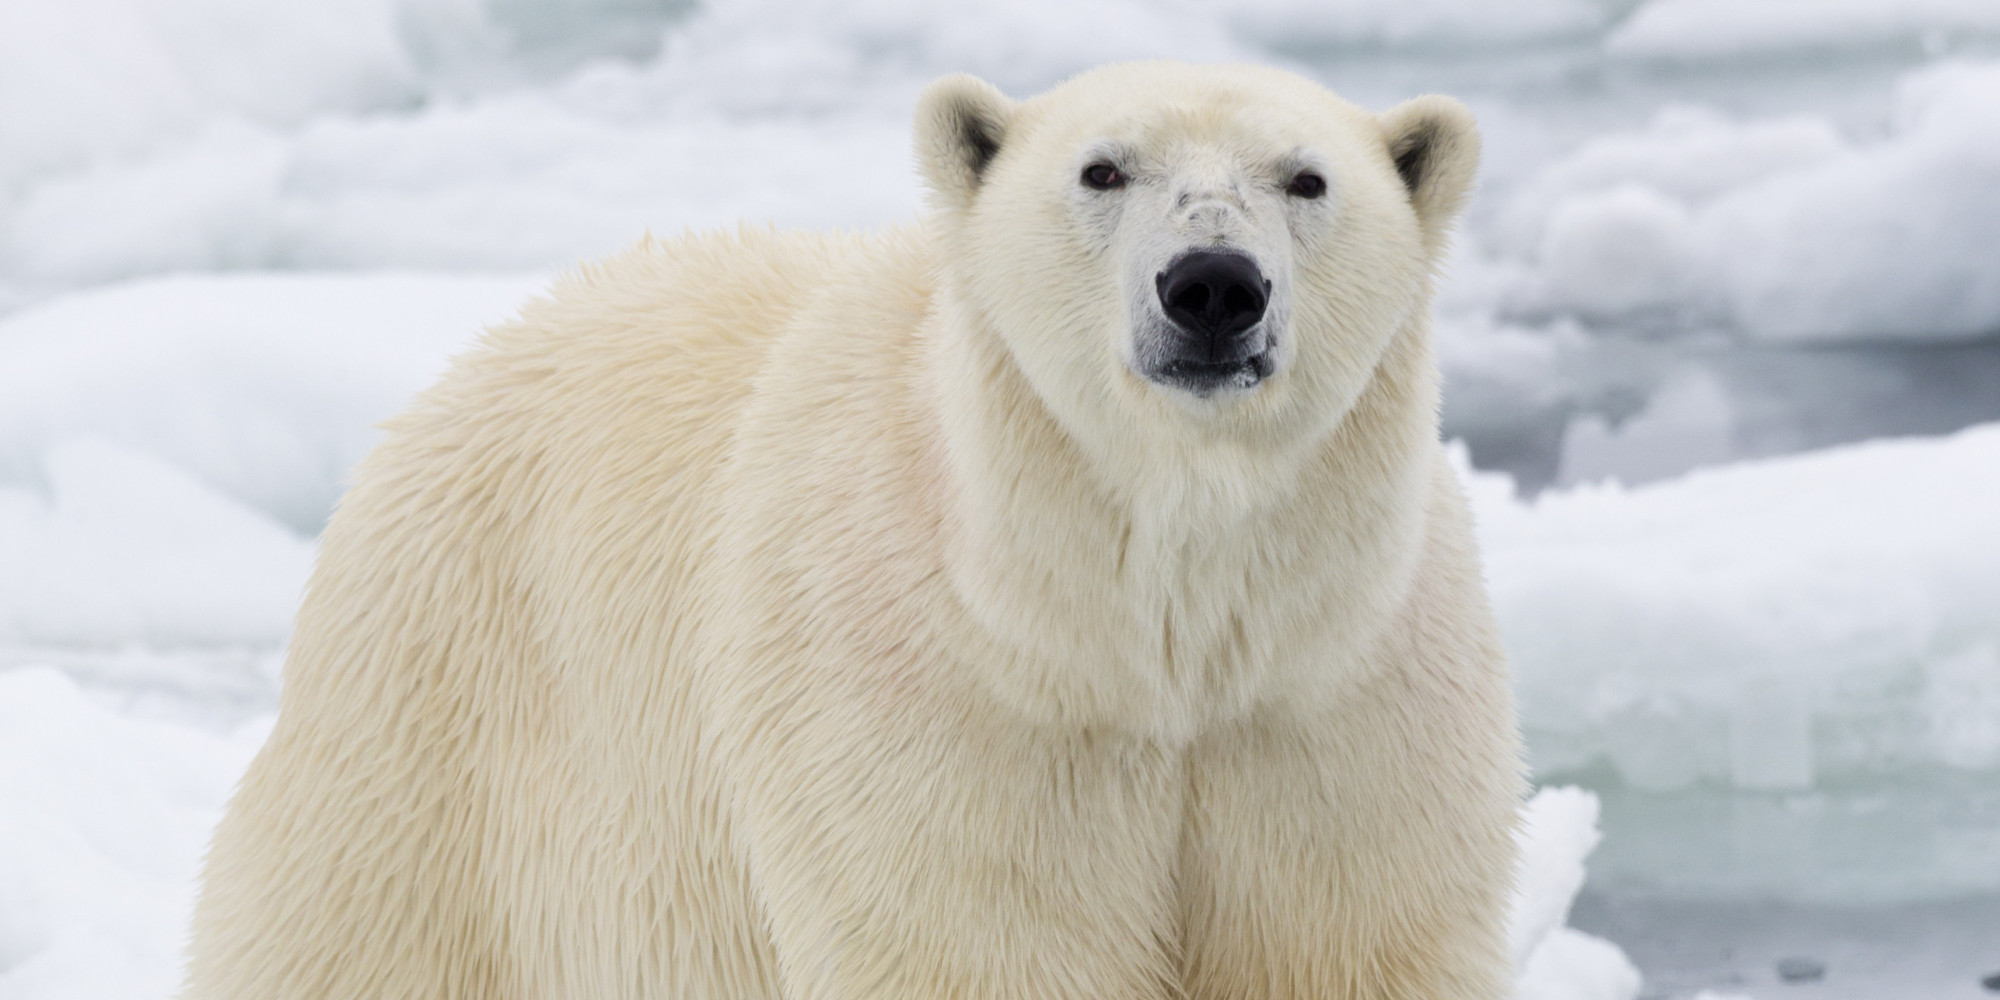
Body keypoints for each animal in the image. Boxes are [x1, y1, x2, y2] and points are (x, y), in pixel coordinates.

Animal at [195, 62, 1520, 1000]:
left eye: (1306, 179)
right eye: (1101, 171)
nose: (1210, 285)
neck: (1130, 641)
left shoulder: (1332, 711)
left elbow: (1346, 939)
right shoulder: (933, 704)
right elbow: (973, 946)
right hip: (435, 767)